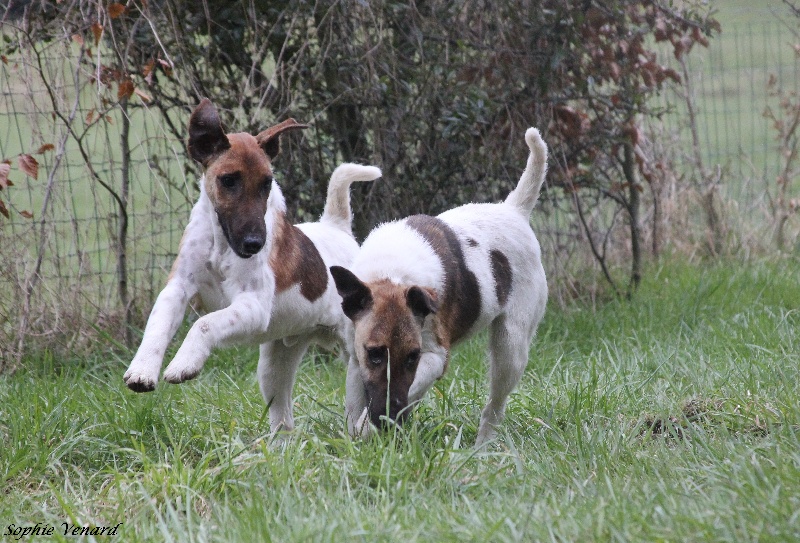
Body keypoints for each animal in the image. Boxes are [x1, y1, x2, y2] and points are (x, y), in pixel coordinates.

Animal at [123, 100, 382, 436]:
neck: (221, 243)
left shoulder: (252, 306)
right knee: (283, 419)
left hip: (357, 358)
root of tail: (338, 229)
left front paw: (184, 363)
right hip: (274, 365)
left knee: (360, 405)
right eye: (228, 180)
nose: (254, 244)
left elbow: (204, 324)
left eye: (266, 183)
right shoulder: (177, 289)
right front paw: (142, 370)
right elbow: (158, 325)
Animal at [328, 127, 548, 446]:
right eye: (375, 355)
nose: (389, 419)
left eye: (412, 357)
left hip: (511, 347)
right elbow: (357, 406)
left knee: (494, 406)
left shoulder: (434, 358)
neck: (391, 274)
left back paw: (482, 447)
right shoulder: (357, 362)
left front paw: (370, 431)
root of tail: (514, 210)